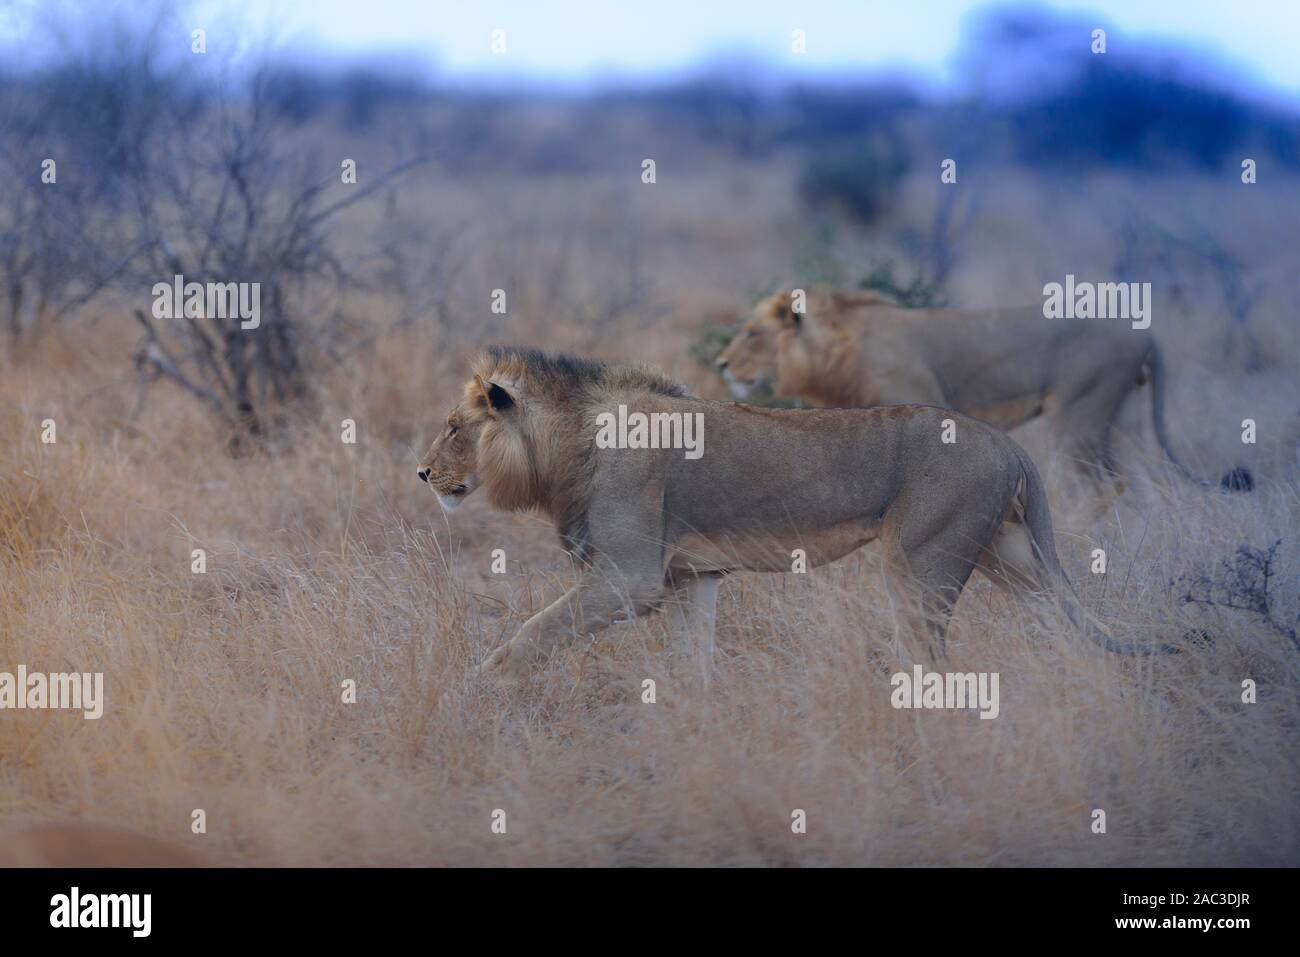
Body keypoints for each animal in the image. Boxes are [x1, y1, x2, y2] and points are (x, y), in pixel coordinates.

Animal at [418, 347, 1154, 680]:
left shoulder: (629, 578)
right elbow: (693, 664)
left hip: (923, 561)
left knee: (929, 655)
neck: (567, 443)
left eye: (454, 427)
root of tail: (1008, 444)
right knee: (1064, 628)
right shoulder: (689, 579)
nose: (423, 474)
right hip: (1012, 555)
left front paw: (478, 688)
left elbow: (530, 633)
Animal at [715, 290, 1253, 490]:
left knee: (1101, 485)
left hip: (1081, 413)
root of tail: (1147, 333)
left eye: (752, 334)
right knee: (1138, 485)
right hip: (1120, 417)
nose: (720, 365)